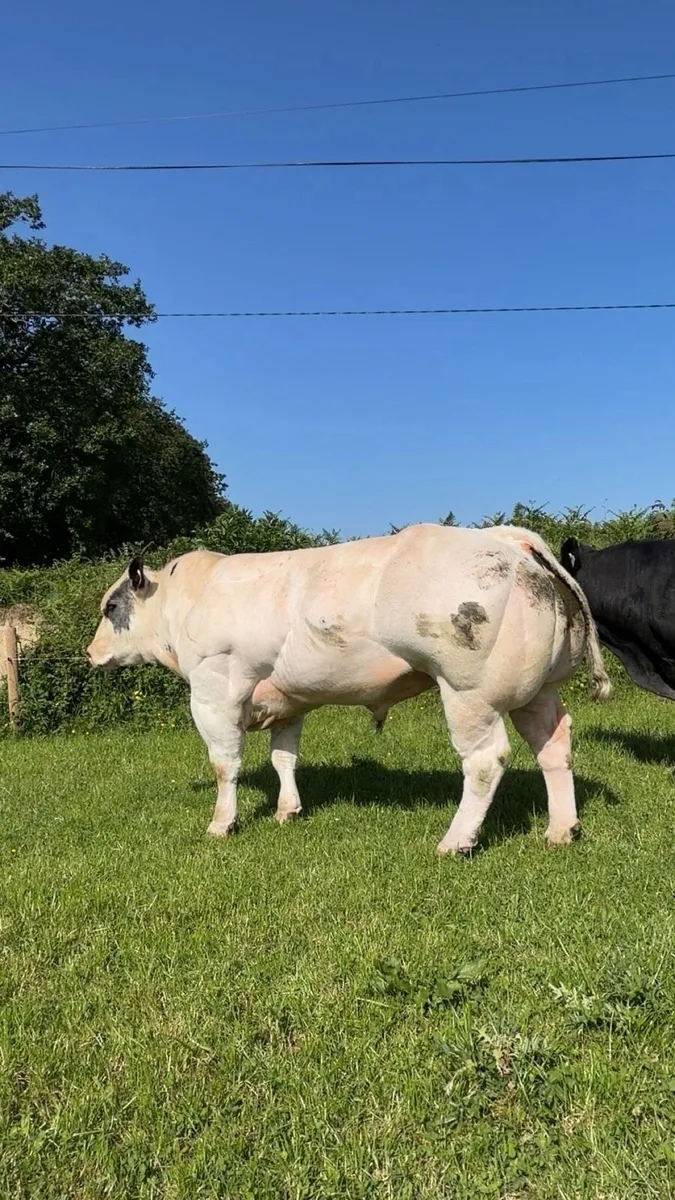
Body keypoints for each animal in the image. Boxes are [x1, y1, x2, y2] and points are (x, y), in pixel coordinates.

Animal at [86, 524, 611, 855]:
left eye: (112, 606)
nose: (90, 653)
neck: (187, 602)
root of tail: (504, 537)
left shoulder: (215, 691)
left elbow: (224, 765)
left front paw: (221, 823)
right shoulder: (288, 700)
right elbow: (283, 758)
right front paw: (287, 811)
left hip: (469, 692)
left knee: (485, 761)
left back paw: (455, 841)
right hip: (537, 692)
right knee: (554, 744)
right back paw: (561, 829)